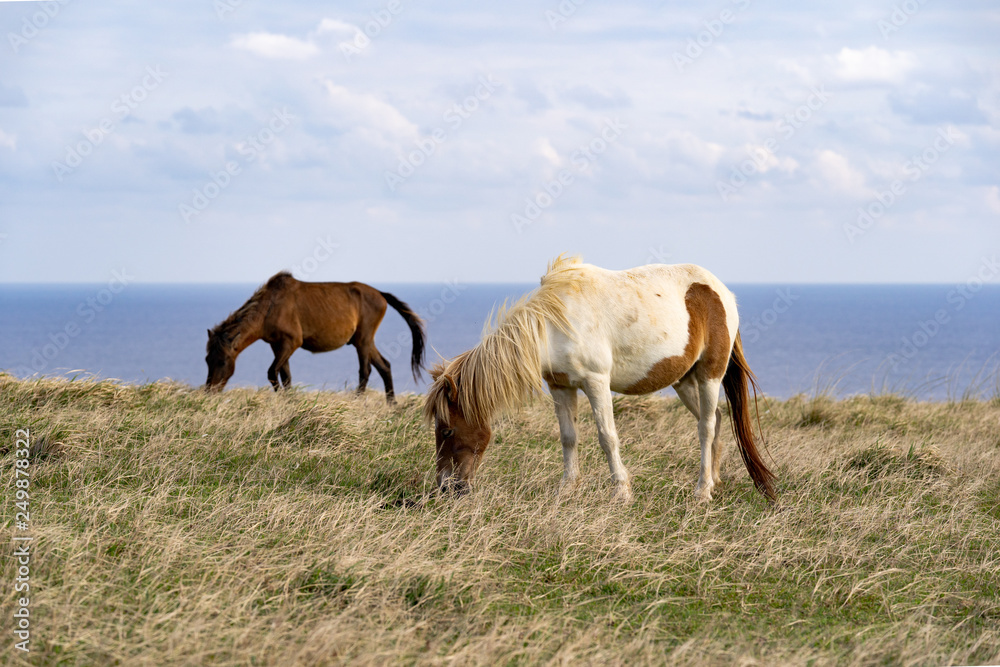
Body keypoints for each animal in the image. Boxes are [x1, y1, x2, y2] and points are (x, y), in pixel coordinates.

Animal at [205, 272, 424, 402]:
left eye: (223, 361)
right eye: (207, 360)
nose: (209, 391)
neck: (270, 307)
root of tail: (379, 293)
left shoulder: (291, 343)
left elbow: (272, 372)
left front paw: (283, 399)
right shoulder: (277, 345)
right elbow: (286, 376)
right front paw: (289, 401)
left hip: (363, 340)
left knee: (366, 370)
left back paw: (358, 400)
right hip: (365, 340)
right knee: (384, 366)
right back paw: (392, 403)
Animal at [420, 254, 772, 500]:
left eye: (447, 430)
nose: (446, 488)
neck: (554, 326)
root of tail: (721, 292)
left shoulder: (596, 382)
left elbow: (607, 437)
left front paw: (621, 492)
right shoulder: (560, 386)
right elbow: (568, 437)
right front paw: (566, 489)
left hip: (709, 375)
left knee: (706, 427)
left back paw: (702, 492)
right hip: (683, 380)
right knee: (715, 422)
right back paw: (714, 481)